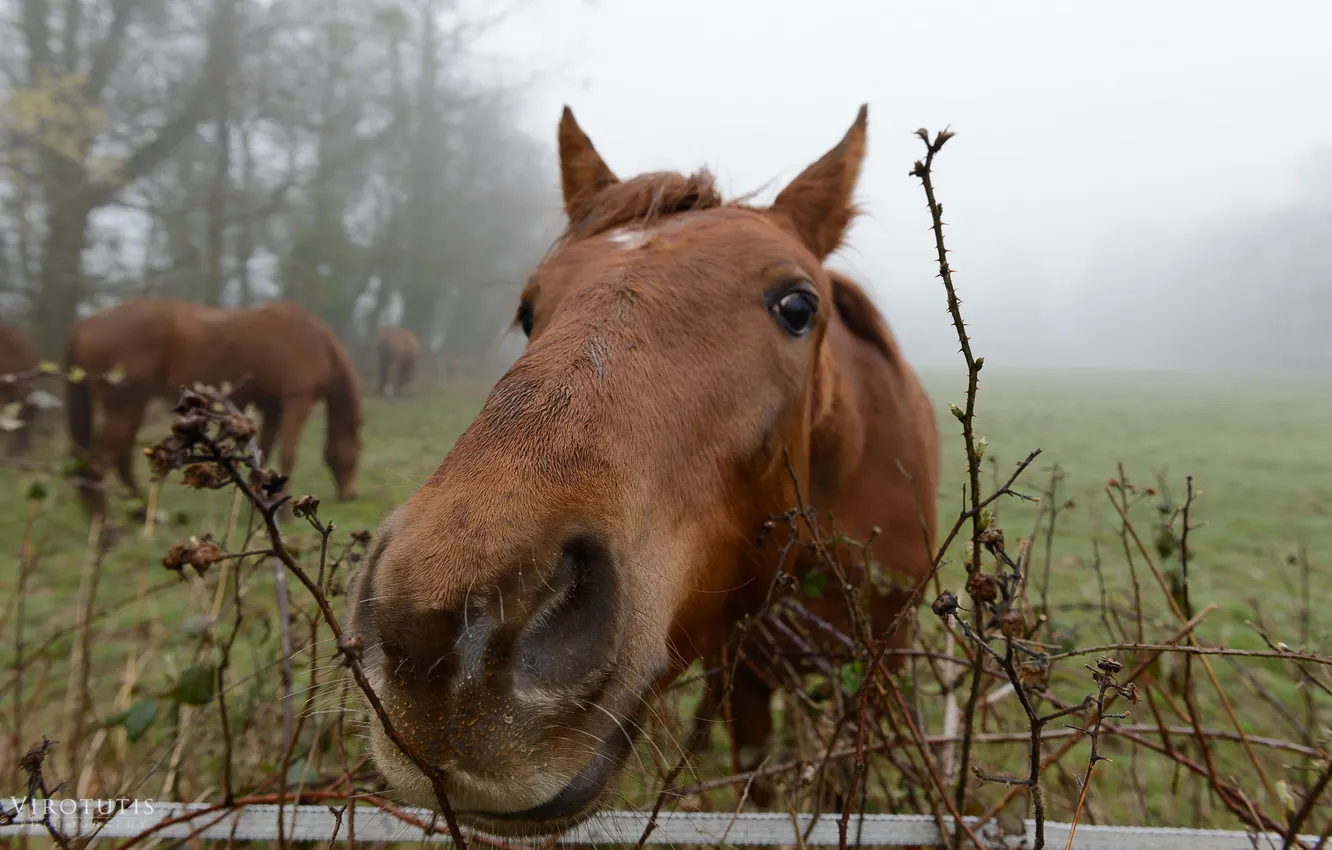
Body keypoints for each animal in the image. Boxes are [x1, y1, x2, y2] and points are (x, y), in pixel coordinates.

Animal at [64, 299, 362, 527]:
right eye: (356, 451)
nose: (350, 494)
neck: (314, 340)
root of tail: (84, 323)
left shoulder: (273, 407)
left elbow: (263, 454)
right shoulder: (296, 401)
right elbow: (288, 455)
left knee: (119, 460)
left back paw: (143, 515)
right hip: (126, 408)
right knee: (99, 463)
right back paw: (106, 529)